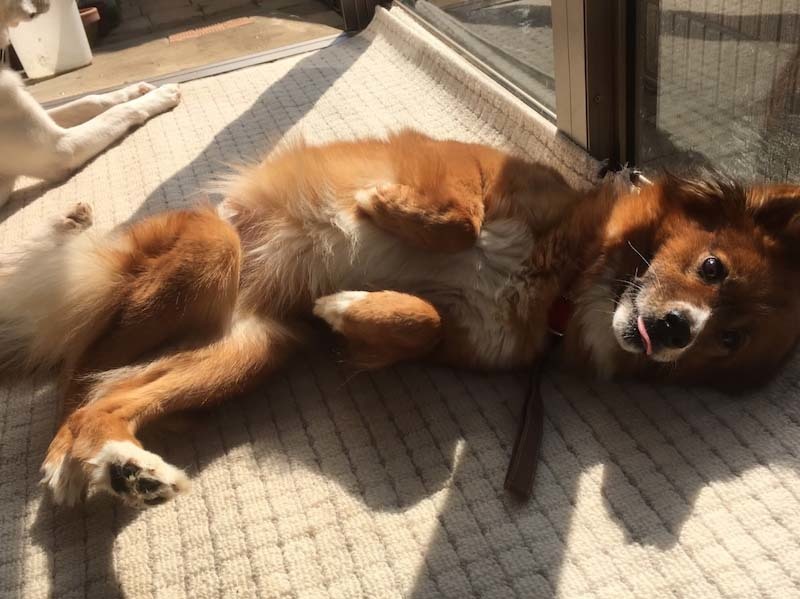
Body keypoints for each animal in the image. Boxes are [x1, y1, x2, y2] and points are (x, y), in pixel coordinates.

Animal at [1, 129, 799, 508]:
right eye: (712, 268)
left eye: (727, 342)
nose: (678, 332)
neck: (567, 281)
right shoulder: (474, 174)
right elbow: (458, 217)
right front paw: (385, 208)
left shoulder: (456, 335)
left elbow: (418, 322)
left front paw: (348, 308)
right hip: (210, 251)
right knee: (77, 369)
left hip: (252, 349)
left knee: (107, 393)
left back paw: (119, 465)